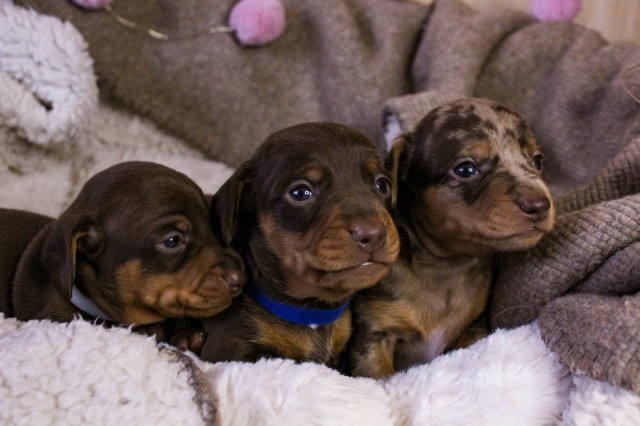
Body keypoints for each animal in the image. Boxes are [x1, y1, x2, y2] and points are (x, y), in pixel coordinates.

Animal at [350, 98, 556, 378]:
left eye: (538, 161)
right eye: (466, 169)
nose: (539, 205)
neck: (446, 268)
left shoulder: (473, 328)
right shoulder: (374, 336)